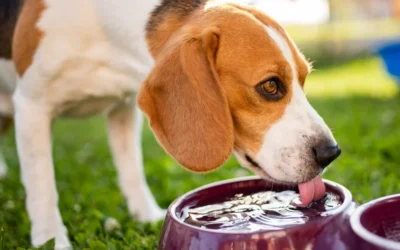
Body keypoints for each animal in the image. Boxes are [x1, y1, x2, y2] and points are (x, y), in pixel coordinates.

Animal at [0, 0, 340, 248]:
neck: (104, 32)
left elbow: (132, 170)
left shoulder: (124, 107)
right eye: (270, 86)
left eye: (304, 79)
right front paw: (51, 239)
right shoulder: (32, 106)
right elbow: (42, 187)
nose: (331, 153)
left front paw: (146, 215)